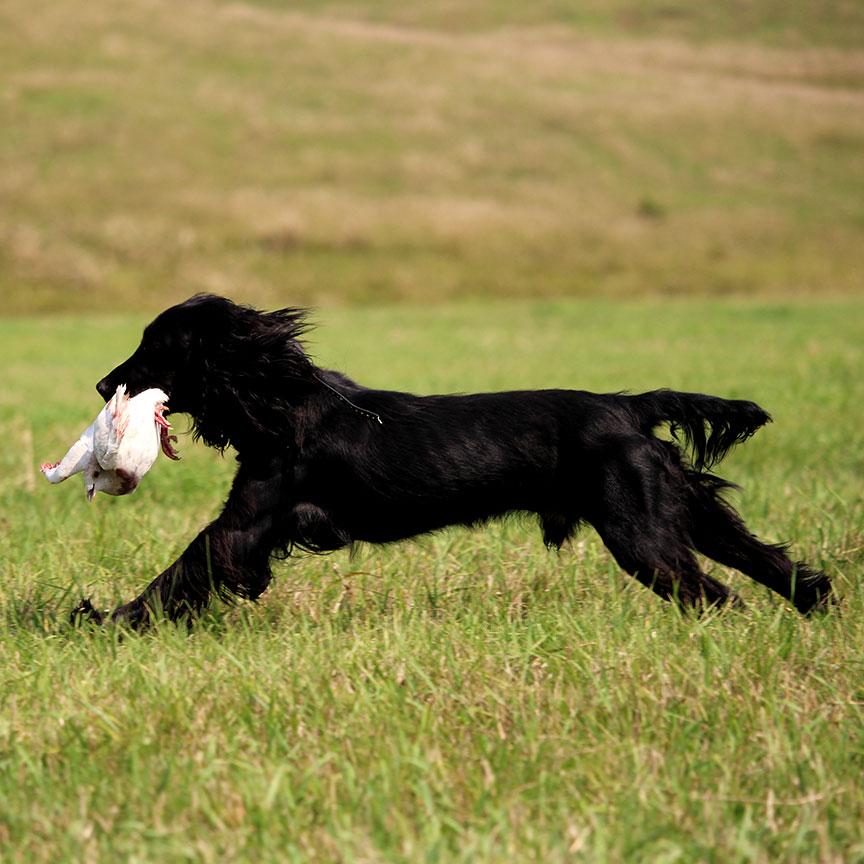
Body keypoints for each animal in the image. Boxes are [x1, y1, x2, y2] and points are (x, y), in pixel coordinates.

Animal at [77, 294, 832, 624]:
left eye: (155, 346)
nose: (101, 384)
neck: (282, 402)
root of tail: (626, 406)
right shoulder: (257, 525)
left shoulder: (246, 524)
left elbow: (183, 569)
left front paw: (105, 620)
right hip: (680, 508)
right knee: (766, 560)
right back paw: (816, 604)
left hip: (641, 531)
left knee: (716, 592)